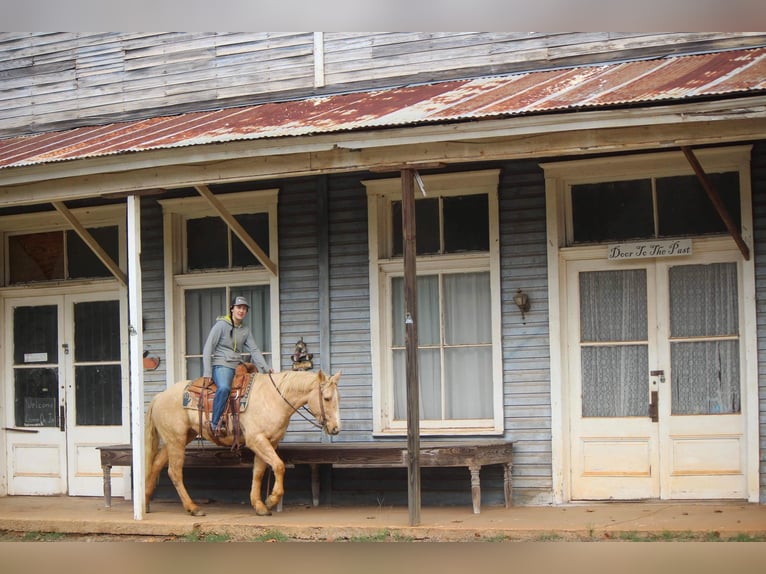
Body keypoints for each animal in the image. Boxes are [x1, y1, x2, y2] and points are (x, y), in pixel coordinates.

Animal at [145, 366, 342, 520]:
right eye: (326, 398)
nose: (336, 428)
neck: (274, 398)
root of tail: (159, 397)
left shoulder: (269, 442)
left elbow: (259, 472)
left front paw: (260, 506)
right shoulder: (256, 440)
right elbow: (279, 466)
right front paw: (271, 499)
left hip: (178, 439)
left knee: (156, 465)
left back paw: (146, 502)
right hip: (176, 440)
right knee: (174, 472)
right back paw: (193, 508)